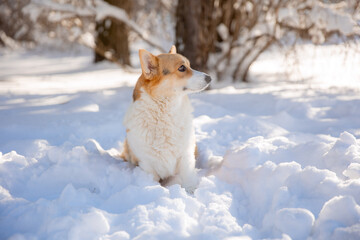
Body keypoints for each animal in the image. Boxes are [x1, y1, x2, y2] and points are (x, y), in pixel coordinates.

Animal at [121, 45, 211, 191]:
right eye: (182, 68)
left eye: (189, 65)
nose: (209, 78)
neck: (165, 114)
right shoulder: (147, 164)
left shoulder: (186, 157)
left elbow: (189, 180)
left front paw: (192, 192)